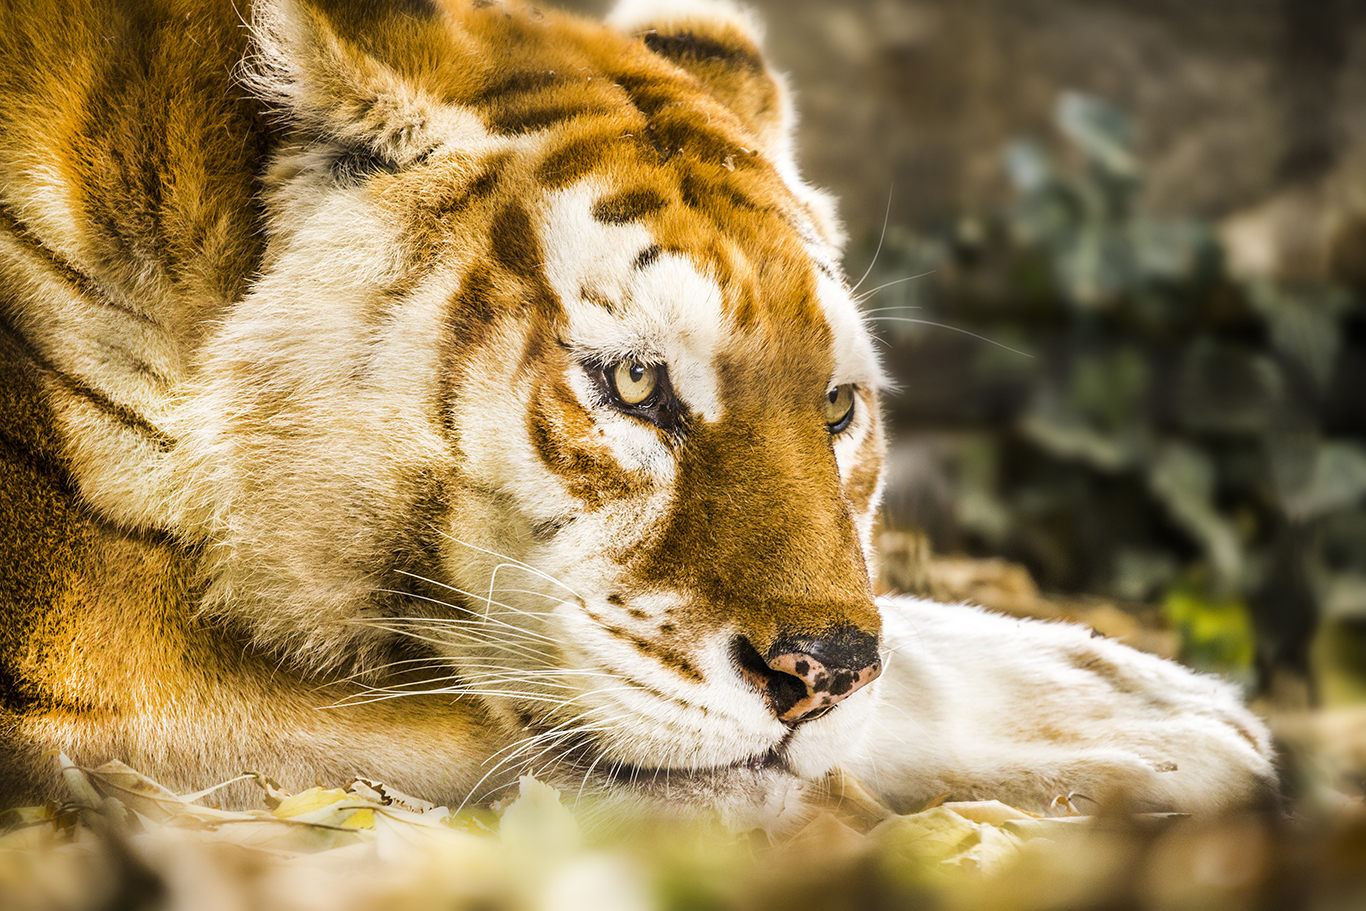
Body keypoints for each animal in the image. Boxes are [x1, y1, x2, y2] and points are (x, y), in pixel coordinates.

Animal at [0, 0, 1276, 827]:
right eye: (631, 385)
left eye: (834, 405)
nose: (821, 672)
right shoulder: (104, 669)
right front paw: (1157, 723)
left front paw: (1150, 689)